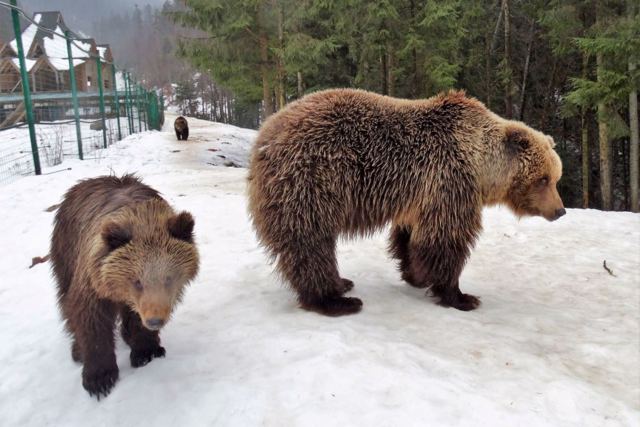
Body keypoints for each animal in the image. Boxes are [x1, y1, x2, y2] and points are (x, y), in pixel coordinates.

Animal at [51, 175, 198, 402]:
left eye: (168, 278)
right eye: (137, 281)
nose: (155, 321)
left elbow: (137, 319)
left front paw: (146, 351)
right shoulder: (92, 284)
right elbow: (91, 321)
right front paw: (99, 379)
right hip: (65, 252)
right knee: (65, 301)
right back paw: (77, 350)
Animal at [246, 89, 564, 318]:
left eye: (556, 176)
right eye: (544, 179)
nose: (560, 210)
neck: (481, 167)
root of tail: (264, 136)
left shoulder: (419, 193)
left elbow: (410, 235)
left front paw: (416, 275)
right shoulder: (450, 181)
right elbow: (445, 239)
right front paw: (461, 296)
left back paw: (341, 283)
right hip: (312, 179)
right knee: (309, 243)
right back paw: (336, 300)